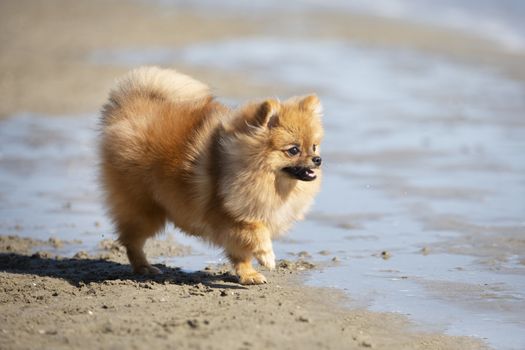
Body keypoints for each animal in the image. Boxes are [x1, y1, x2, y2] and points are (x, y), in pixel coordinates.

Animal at [97, 66, 320, 284]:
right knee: (131, 241)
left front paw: (248, 275)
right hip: (144, 211)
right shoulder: (227, 215)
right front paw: (267, 256)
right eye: (293, 150)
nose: (318, 159)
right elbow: (256, 231)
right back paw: (144, 267)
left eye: (314, 146)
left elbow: (242, 252)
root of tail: (129, 108)